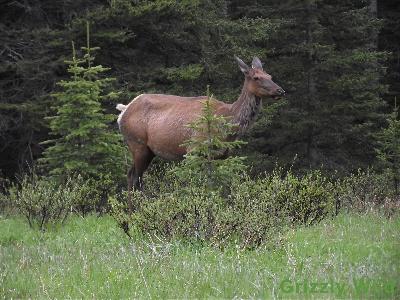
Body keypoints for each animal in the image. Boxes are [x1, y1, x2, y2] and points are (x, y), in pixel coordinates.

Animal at [115, 56, 284, 195]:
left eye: (270, 76)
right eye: (256, 77)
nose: (280, 90)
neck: (227, 126)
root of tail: (123, 111)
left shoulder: (222, 156)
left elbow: (218, 186)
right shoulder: (193, 150)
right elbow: (196, 184)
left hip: (149, 150)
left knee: (134, 176)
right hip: (137, 143)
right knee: (134, 176)